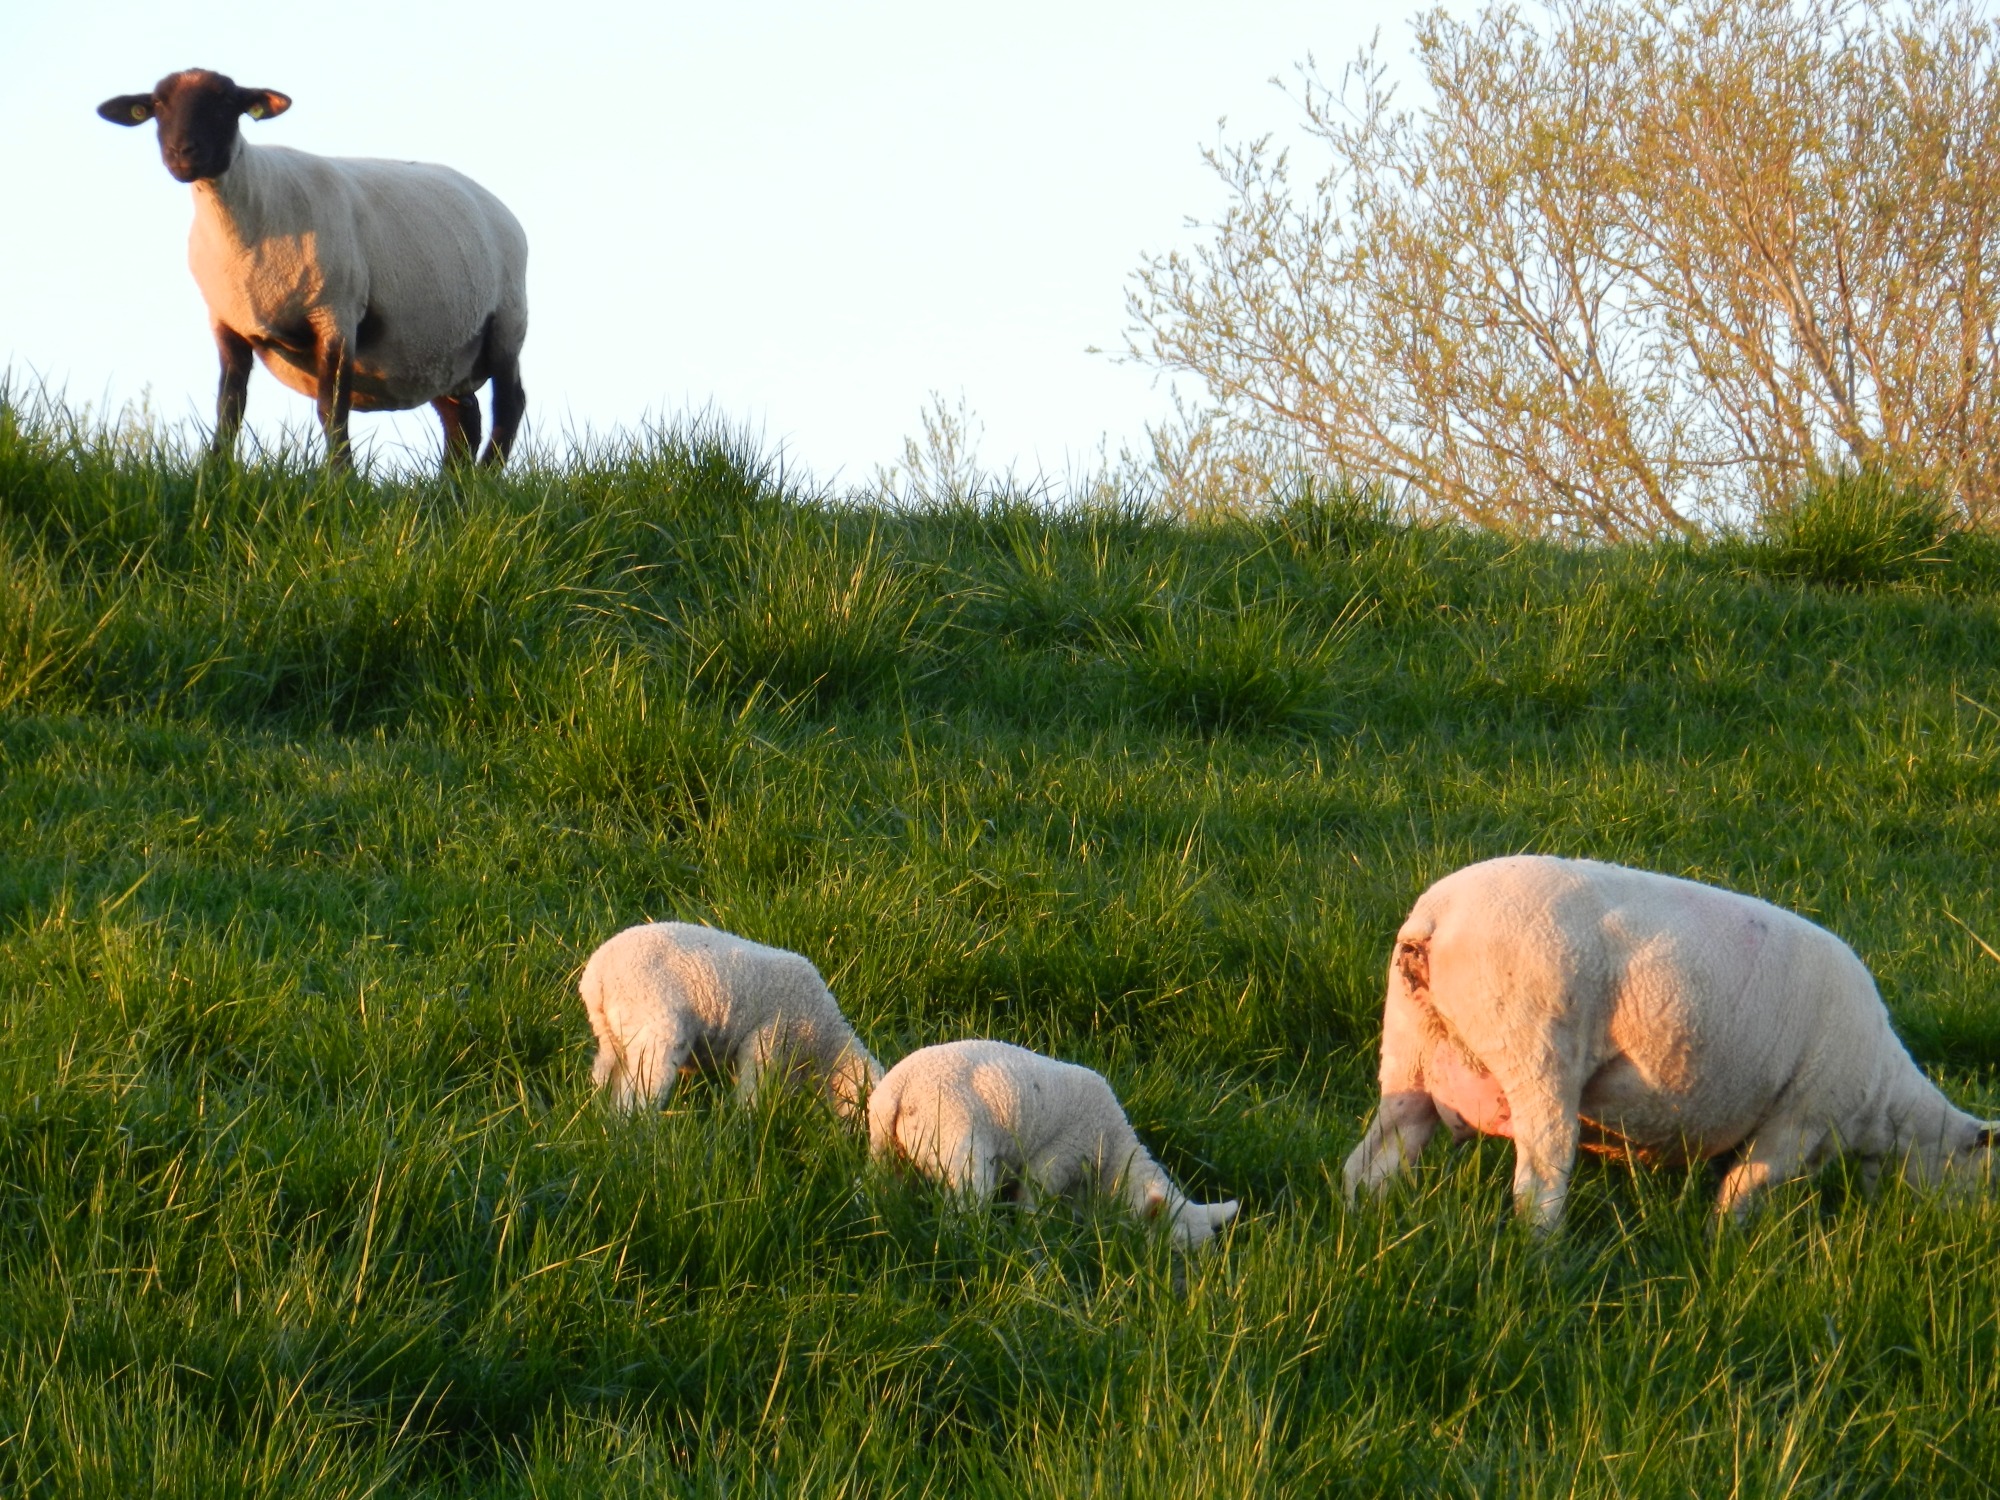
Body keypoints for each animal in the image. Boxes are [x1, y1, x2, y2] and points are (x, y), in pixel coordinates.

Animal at [98, 68, 527, 471]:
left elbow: (331, 408)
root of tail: (496, 206)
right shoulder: (227, 320)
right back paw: (452, 485)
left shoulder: (334, 312)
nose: (182, 154)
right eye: (156, 105)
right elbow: (229, 405)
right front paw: (215, 471)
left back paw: (485, 477)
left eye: (227, 102)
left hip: (507, 321)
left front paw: (341, 479)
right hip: (437, 353)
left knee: (509, 403)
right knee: (462, 416)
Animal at [580, 922, 883, 1123]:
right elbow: (752, 1085)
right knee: (641, 1087)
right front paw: (748, 1118)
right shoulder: (769, 1038)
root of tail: (598, 973)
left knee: (606, 1073)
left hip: (613, 1030)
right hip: (654, 1020)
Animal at [870, 1039, 1240, 1249]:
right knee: (964, 1205)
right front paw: (1034, 1237)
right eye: (1171, 1251)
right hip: (957, 1141)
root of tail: (898, 1090)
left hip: (886, 1150)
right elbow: (1033, 1201)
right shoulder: (1058, 1158)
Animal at [1342, 855, 1996, 1229]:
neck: (1887, 1106)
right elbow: (1740, 1194)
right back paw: (1546, 1263)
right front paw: (1724, 1255)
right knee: (1540, 1184)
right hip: (1533, 1047)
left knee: (1375, 1159)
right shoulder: (1800, 1118)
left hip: (1408, 1044)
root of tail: (1435, 917)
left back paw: (1364, 1225)